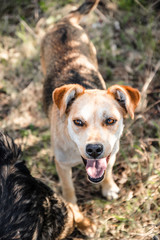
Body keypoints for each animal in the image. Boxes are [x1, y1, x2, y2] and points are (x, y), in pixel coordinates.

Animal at [40, 0, 140, 236]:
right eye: (78, 122)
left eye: (110, 120)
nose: (94, 149)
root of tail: (64, 23)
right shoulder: (62, 165)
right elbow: (69, 192)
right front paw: (80, 221)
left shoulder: (113, 151)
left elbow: (109, 169)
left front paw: (109, 187)